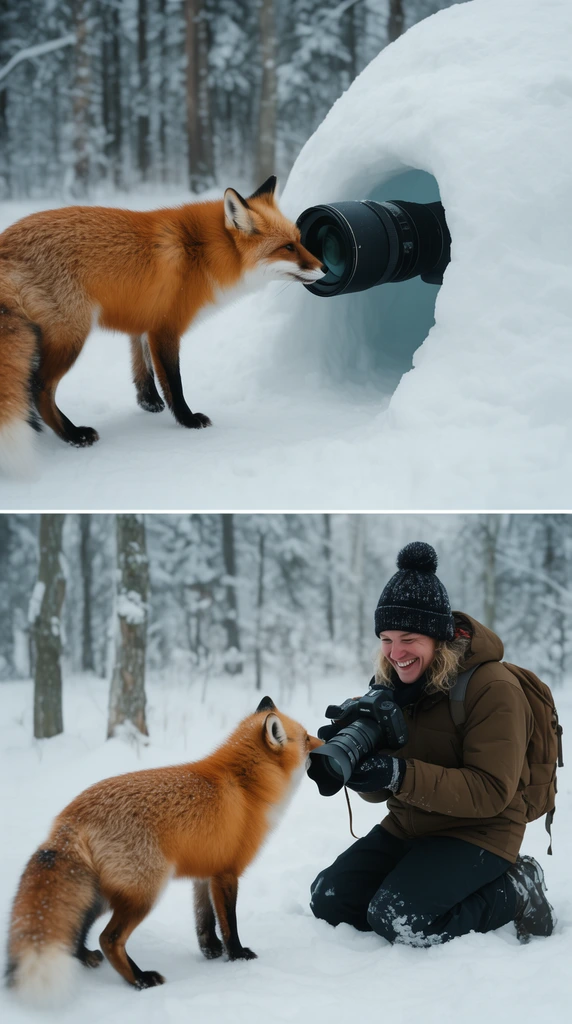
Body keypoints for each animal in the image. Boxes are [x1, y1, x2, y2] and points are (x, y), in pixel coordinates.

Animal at [0, 176, 325, 472]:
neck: (202, 252)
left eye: (299, 241)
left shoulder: (145, 320)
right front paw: (188, 420)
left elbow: (141, 366)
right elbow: (173, 382)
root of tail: (6, 244)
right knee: (39, 387)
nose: (324, 268)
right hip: (71, 337)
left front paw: (149, 403)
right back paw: (73, 435)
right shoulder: (166, 328)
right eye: (287, 247)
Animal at [5, 697, 320, 1003]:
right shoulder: (227, 873)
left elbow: (204, 920)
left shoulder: (204, 872)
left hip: (103, 892)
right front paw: (237, 955)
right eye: (306, 738)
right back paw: (140, 980)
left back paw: (85, 957)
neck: (246, 788)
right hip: (145, 892)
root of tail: (70, 817)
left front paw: (210, 950)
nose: (324, 745)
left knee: (79, 924)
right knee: (109, 939)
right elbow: (229, 923)